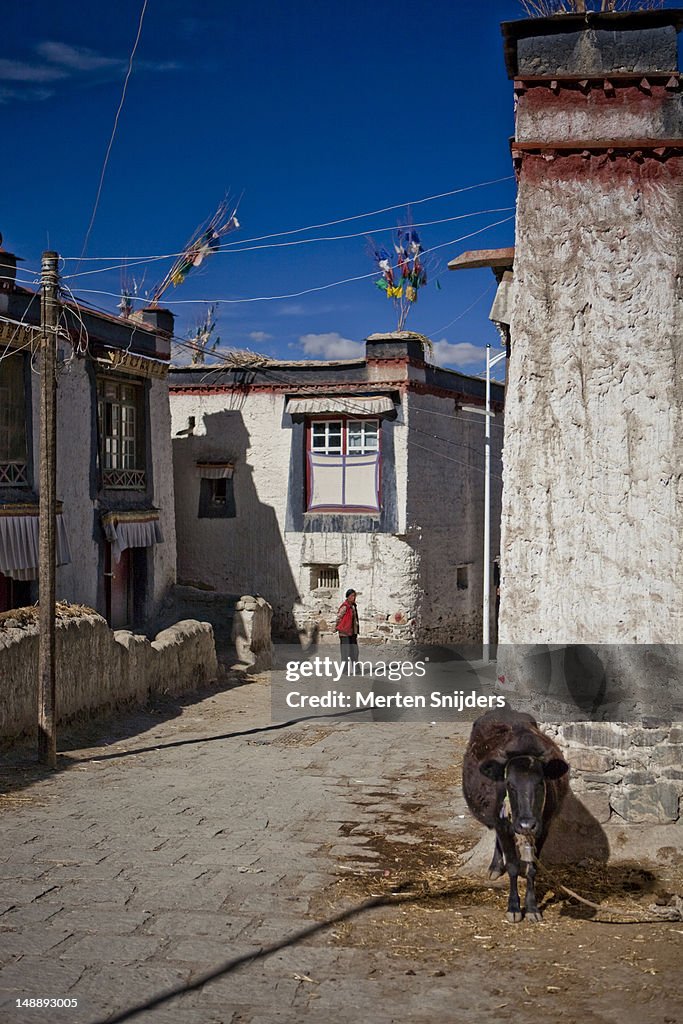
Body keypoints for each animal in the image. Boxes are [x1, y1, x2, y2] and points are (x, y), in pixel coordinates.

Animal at [462, 708, 569, 925]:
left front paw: (532, 907)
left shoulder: (544, 827)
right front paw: (513, 907)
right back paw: (495, 866)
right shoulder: (503, 824)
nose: (526, 824)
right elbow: (512, 865)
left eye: (540, 783)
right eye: (510, 784)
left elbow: (531, 867)